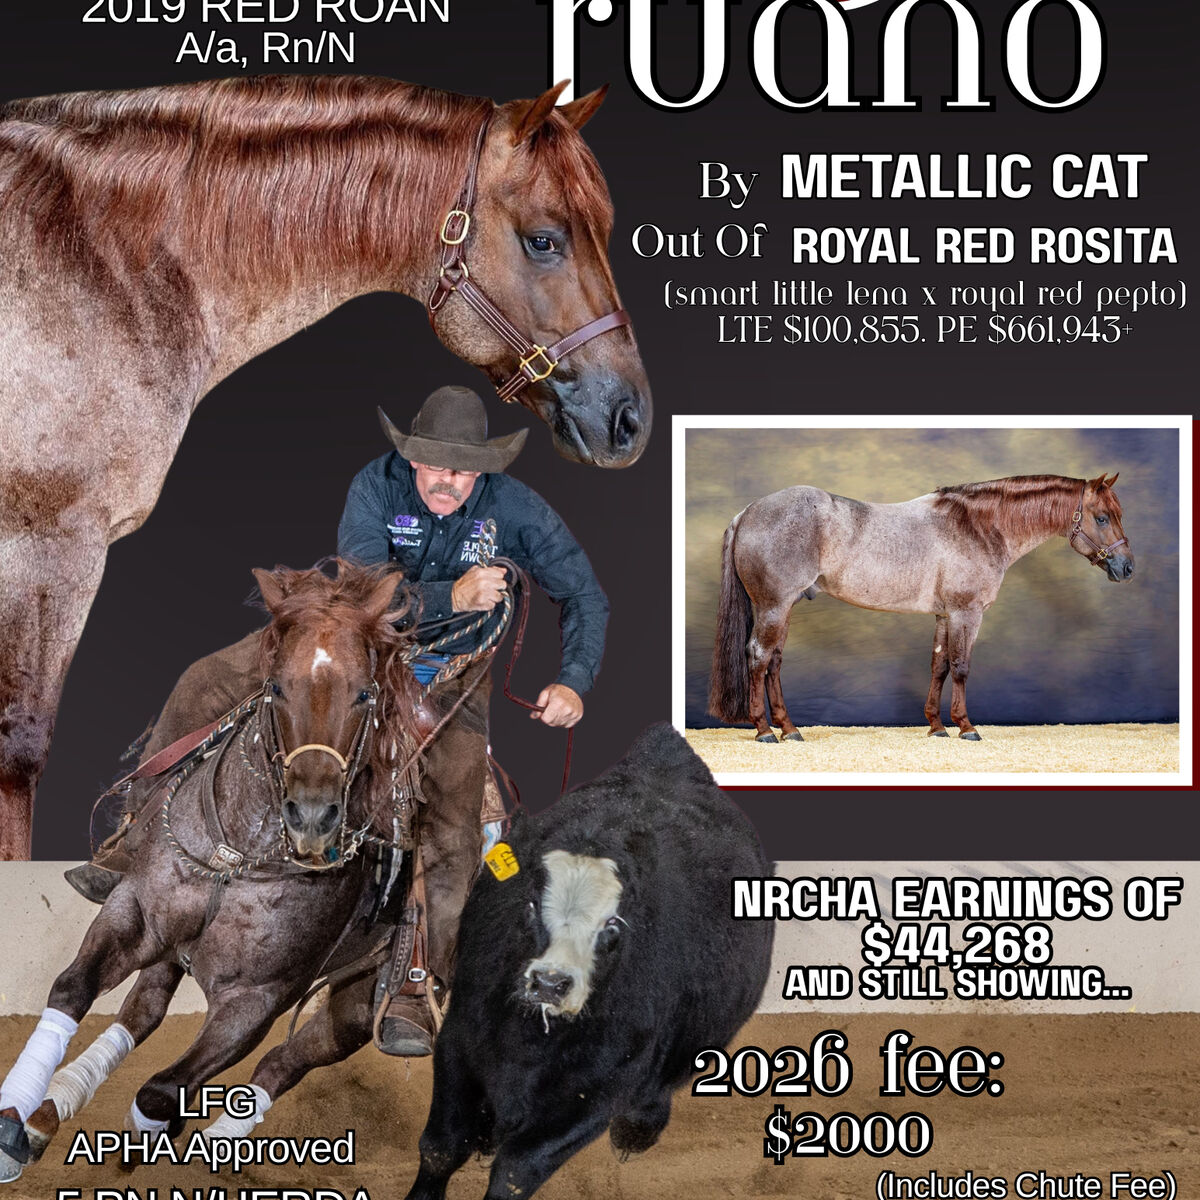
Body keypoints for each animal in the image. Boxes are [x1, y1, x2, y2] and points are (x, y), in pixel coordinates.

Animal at [0, 560, 430, 1179]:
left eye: (364, 693)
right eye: (276, 686)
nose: (313, 818)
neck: (243, 855)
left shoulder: (257, 999)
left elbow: (160, 1089)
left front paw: (150, 1132)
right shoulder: (135, 911)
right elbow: (74, 987)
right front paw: (14, 1120)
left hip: (359, 998)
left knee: (283, 1063)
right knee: (143, 1010)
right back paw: (44, 1115)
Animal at [708, 474, 1134, 742]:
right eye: (1101, 517)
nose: (1127, 567)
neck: (977, 527)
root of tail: (747, 512)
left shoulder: (945, 614)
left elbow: (939, 665)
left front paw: (936, 726)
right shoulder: (966, 613)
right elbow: (961, 667)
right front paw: (966, 727)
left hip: (783, 609)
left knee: (774, 663)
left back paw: (790, 729)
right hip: (773, 607)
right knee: (758, 657)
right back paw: (765, 731)